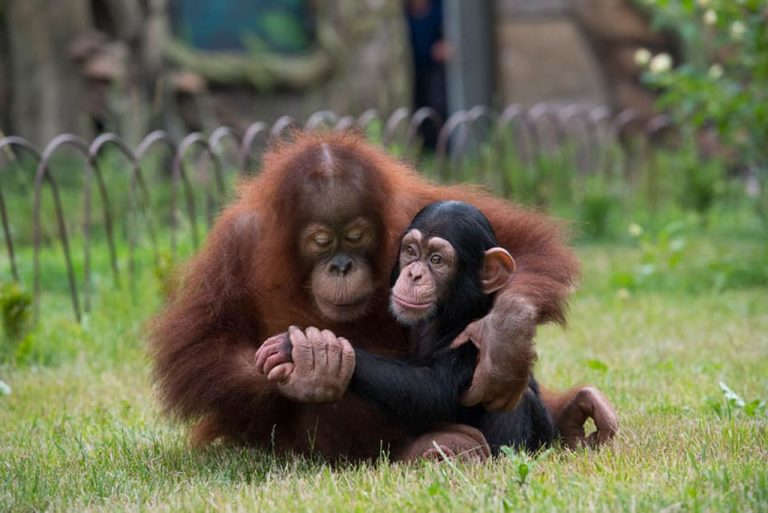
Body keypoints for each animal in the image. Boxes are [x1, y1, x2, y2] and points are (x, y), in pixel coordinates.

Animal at [260, 202, 556, 454]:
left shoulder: (474, 330)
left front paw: (301, 348)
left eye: (436, 259)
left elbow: (435, 389)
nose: (414, 274)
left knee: (515, 398)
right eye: (411, 252)